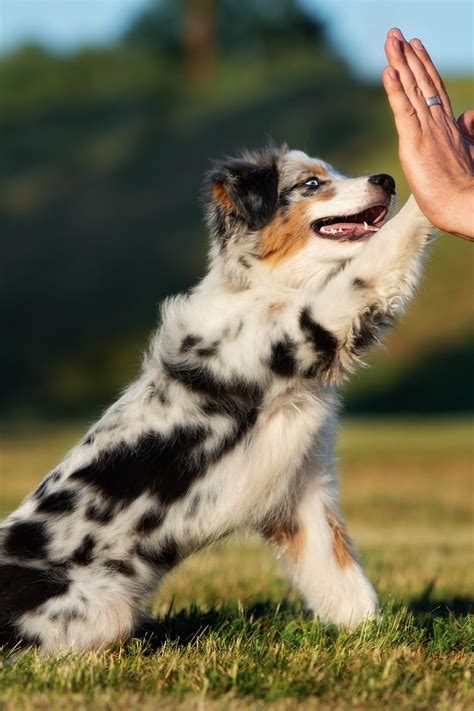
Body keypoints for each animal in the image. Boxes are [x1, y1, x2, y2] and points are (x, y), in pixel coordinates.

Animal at [0, 147, 434, 652]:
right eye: (311, 184)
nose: (386, 179)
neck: (268, 288)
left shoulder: (302, 491)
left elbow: (342, 580)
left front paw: (373, 639)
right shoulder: (314, 323)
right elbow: (376, 261)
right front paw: (432, 185)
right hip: (102, 608)